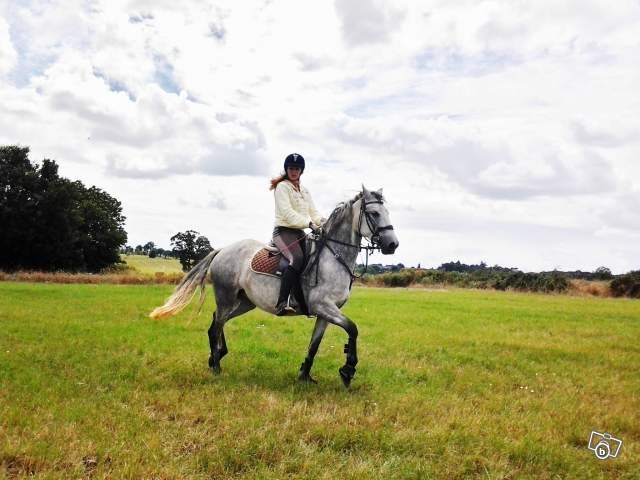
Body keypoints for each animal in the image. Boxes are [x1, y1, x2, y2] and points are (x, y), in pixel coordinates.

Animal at [151, 186, 400, 388]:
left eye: (387, 212)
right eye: (374, 213)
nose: (392, 245)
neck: (333, 256)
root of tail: (223, 250)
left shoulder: (326, 313)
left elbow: (315, 345)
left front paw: (305, 376)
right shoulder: (323, 306)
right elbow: (353, 329)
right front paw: (348, 371)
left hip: (244, 302)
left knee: (217, 322)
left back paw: (217, 356)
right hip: (227, 297)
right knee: (215, 326)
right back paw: (216, 367)